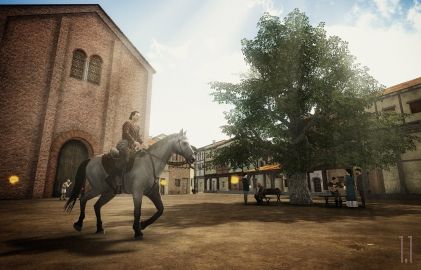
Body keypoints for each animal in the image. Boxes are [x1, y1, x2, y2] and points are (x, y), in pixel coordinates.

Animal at [64, 130, 195, 239]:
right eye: (184, 143)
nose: (193, 158)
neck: (149, 164)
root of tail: (90, 160)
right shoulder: (137, 192)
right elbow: (137, 211)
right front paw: (137, 231)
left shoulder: (153, 192)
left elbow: (160, 210)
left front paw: (142, 225)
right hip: (97, 189)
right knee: (83, 199)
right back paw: (79, 224)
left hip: (108, 192)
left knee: (96, 206)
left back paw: (100, 228)